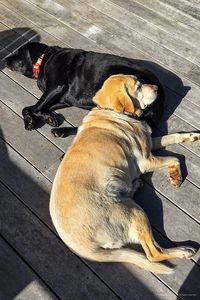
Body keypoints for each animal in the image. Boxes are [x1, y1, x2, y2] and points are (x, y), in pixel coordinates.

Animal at [6, 42, 164, 135]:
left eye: (18, 52)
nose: (5, 59)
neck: (44, 59)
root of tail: (160, 91)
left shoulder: (55, 87)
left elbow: (36, 108)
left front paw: (48, 118)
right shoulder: (62, 98)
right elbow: (28, 108)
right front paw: (31, 120)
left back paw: (62, 131)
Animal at [49, 74, 198, 272]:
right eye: (139, 86)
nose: (157, 88)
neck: (111, 112)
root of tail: (86, 248)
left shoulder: (151, 142)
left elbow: (174, 136)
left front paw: (192, 136)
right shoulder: (146, 161)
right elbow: (174, 158)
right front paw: (176, 175)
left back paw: (135, 185)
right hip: (135, 212)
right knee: (153, 253)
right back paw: (183, 251)